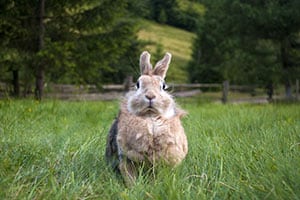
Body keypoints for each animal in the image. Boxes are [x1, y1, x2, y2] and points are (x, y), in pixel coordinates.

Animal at [104, 50, 186, 186]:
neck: (150, 118)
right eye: (138, 84)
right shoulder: (126, 159)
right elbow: (130, 176)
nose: (150, 96)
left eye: (163, 86)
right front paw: (134, 187)